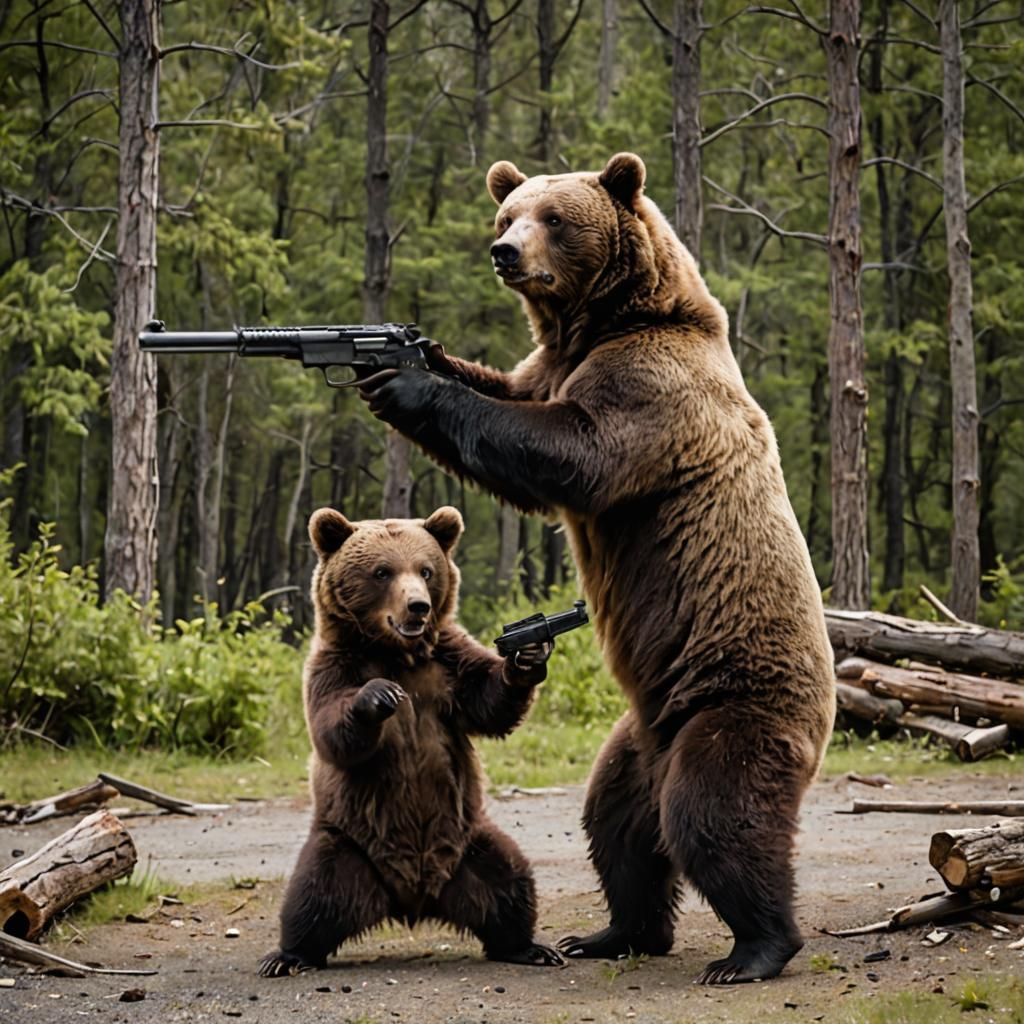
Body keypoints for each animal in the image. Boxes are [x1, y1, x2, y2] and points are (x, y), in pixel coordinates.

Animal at [258, 505, 563, 977]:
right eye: (382, 571)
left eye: (426, 569)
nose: (418, 605)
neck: (397, 653)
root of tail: (412, 900)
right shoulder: (333, 666)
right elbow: (331, 729)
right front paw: (378, 696)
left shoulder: (448, 664)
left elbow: (488, 702)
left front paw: (526, 659)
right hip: (346, 841)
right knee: (312, 895)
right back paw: (287, 955)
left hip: (470, 838)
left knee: (510, 882)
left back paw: (529, 946)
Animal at [356, 153, 836, 985]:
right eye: (508, 212)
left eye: (554, 218)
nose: (505, 253)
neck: (602, 321)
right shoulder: (549, 365)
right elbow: (502, 394)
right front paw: (416, 364)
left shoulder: (654, 389)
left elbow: (568, 449)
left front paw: (412, 381)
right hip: (641, 735)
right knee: (618, 825)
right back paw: (616, 931)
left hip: (738, 702)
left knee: (717, 815)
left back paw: (755, 947)